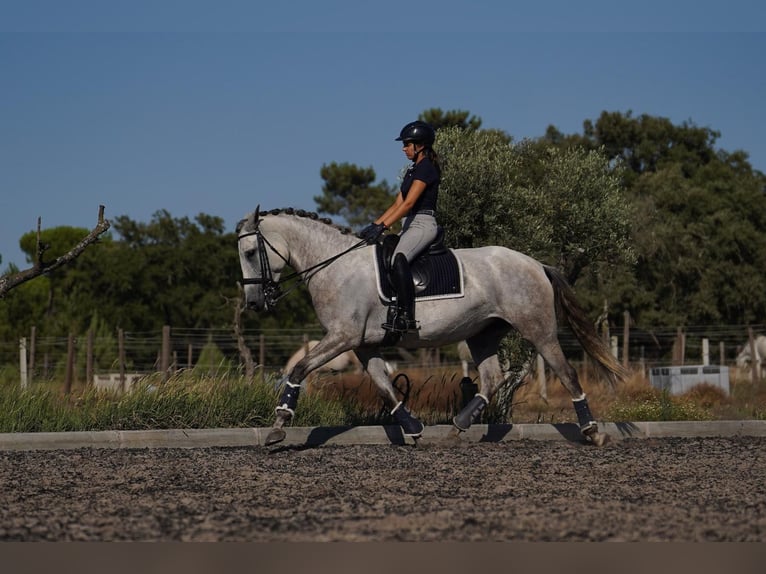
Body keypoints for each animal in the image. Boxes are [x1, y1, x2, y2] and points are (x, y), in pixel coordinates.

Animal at [238, 209, 632, 448]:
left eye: (249, 253)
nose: (255, 302)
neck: (336, 266)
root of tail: (535, 263)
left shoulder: (342, 338)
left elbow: (299, 369)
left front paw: (278, 426)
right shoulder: (362, 344)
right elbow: (385, 387)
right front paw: (413, 430)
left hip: (538, 330)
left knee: (566, 373)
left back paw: (592, 432)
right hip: (483, 333)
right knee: (492, 378)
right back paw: (457, 428)